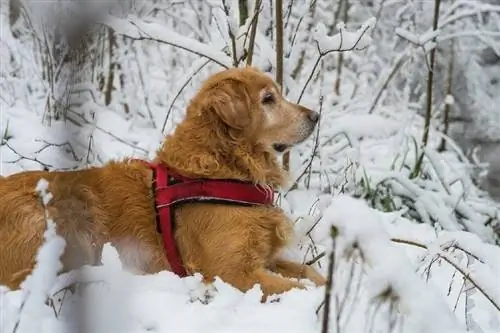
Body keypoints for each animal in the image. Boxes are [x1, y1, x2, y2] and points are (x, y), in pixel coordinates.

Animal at [0, 67, 326, 298]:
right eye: (269, 99)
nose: (316, 115)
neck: (222, 167)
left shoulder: (266, 258)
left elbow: (310, 274)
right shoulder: (233, 271)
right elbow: (298, 288)